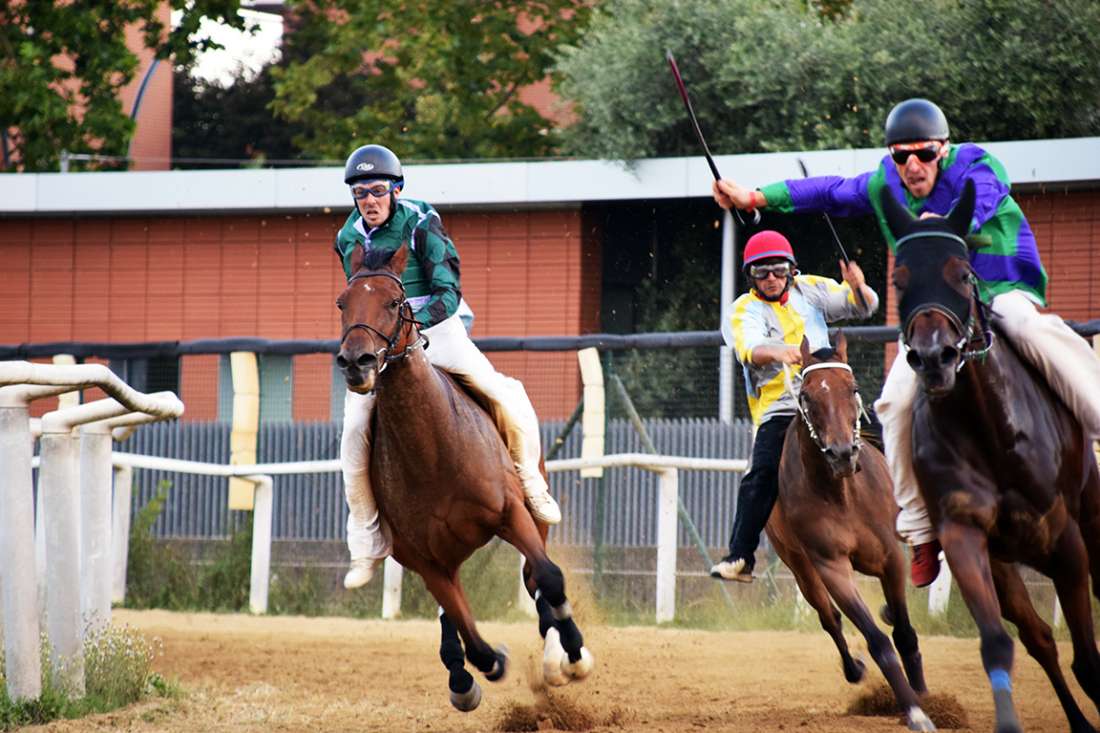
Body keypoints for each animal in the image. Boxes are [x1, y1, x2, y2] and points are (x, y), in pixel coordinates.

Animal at [765, 334, 937, 726]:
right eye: (807, 396)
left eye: (852, 388)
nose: (842, 453)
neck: (841, 495)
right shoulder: (831, 567)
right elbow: (878, 641)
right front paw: (915, 712)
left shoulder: (890, 557)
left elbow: (904, 633)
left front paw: (923, 695)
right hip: (800, 566)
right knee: (829, 618)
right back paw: (853, 668)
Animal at [880, 178, 1100, 730]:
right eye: (899, 279)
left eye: (962, 273)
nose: (933, 358)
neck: (992, 432)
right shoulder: (964, 534)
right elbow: (1000, 644)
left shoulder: (1065, 539)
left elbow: (1089, 661)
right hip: (1005, 562)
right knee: (1039, 638)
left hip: (1091, 516)